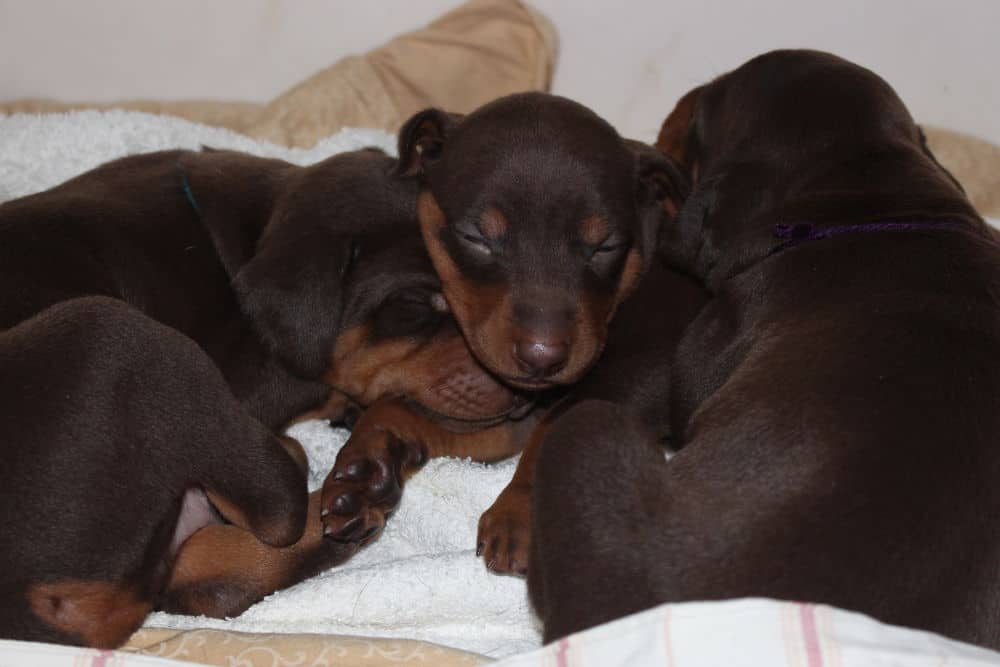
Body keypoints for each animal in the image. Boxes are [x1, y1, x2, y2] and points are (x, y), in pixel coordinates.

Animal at [0, 147, 528, 648]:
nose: (528, 390)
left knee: (212, 579)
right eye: (418, 303)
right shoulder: (249, 380)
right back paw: (356, 486)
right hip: (115, 330)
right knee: (277, 512)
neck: (238, 241)